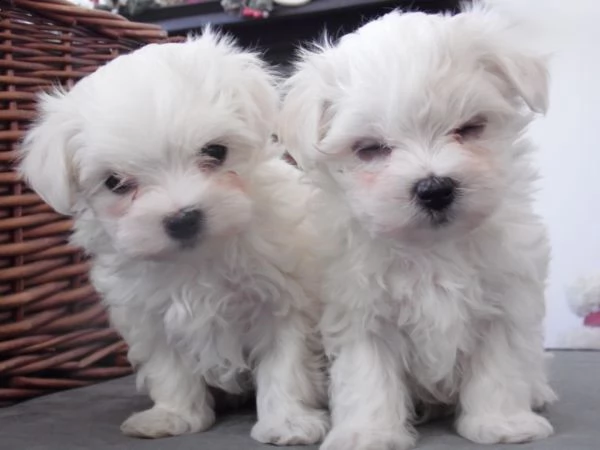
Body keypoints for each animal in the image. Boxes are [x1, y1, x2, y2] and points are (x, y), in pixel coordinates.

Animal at [19, 33, 328, 444]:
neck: (197, 259)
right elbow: (169, 368)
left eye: (215, 151)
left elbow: (286, 362)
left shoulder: (284, 299)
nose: (183, 218)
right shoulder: (148, 315)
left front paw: (288, 422)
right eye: (115, 182)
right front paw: (173, 417)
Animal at [282, 3, 556, 450]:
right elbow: (367, 376)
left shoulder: (505, 297)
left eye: (469, 128)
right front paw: (369, 433)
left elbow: (500, 366)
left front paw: (502, 424)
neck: (432, 247)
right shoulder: (360, 311)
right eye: (371, 149)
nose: (434, 189)